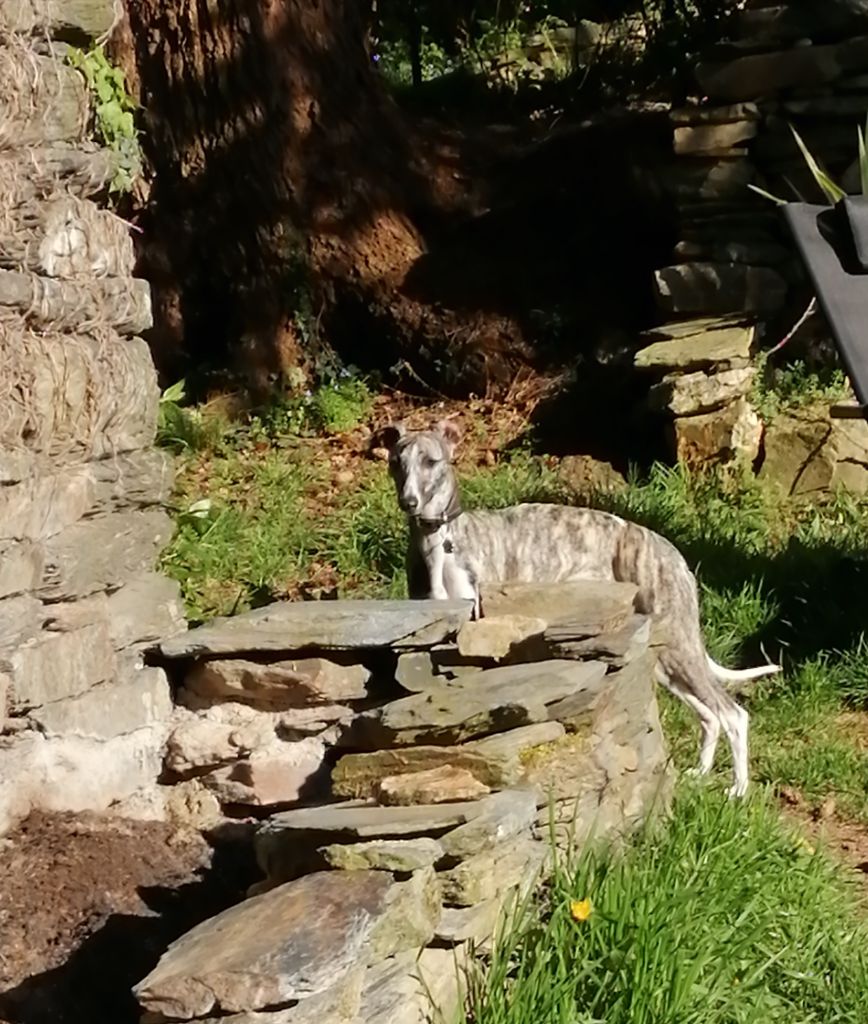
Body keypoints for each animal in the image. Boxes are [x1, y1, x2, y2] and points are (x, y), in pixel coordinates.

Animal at [382, 419, 782, 794]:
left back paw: (739, 790)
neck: (441, 538)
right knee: (710, 715)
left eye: (431, 461)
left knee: (733, 714)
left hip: (678, 645)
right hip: (662, 656)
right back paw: (700, 774)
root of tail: (673, 554)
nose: (409, 502)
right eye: (396, 462)